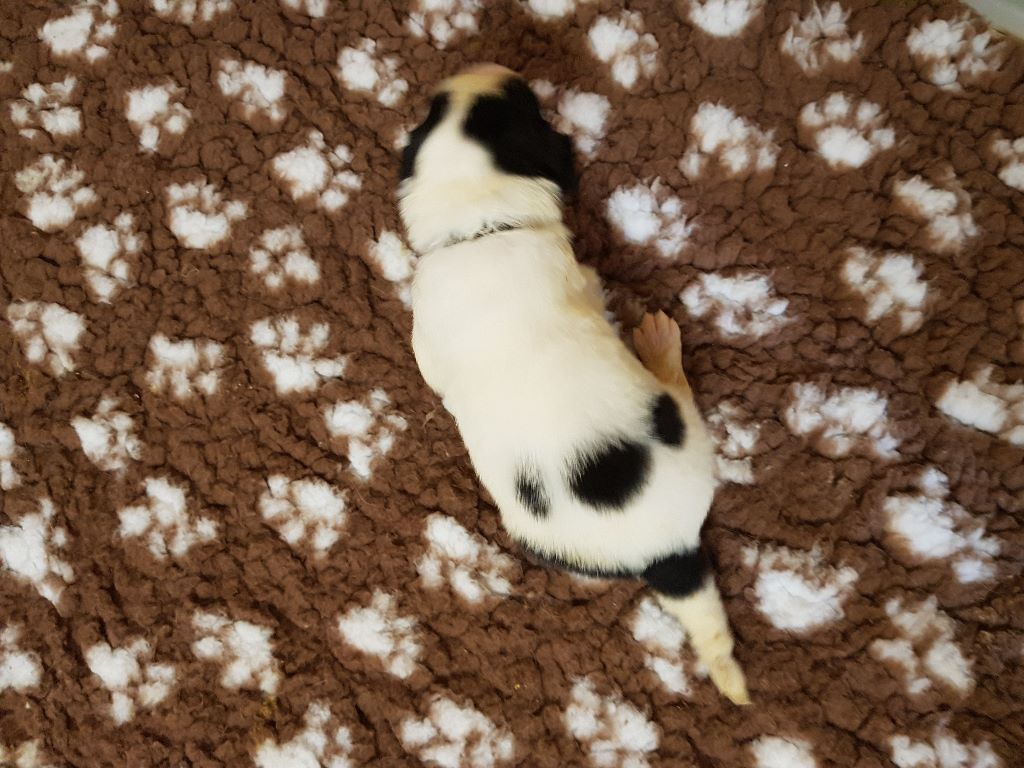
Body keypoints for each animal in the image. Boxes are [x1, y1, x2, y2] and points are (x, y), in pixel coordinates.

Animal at [398, 63, 749, 705]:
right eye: (528, 107)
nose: (498, 67)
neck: (482, 227)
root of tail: (670, 553)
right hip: (679, 439)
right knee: (682, 395)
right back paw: (660, 343)